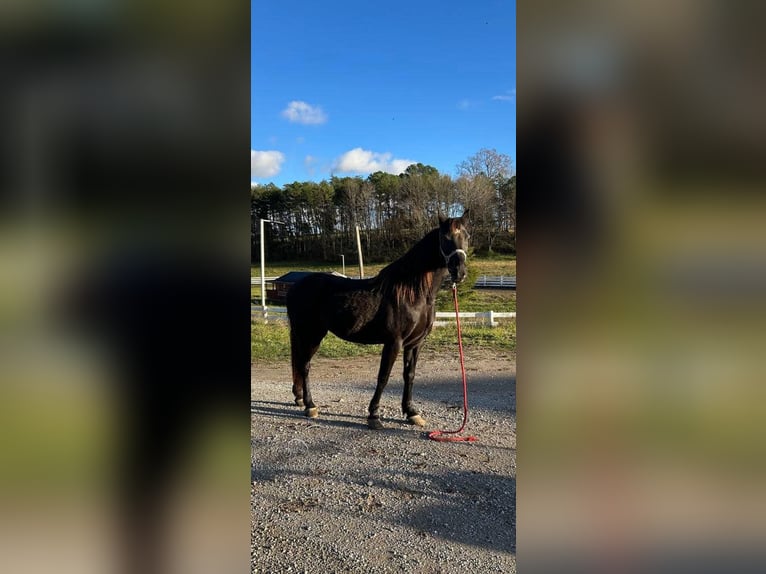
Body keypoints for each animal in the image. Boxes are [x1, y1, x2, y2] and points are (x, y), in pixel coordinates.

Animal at [286, 214, 472, 430]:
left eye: (466, 236)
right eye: (445, 237)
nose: (459, 272)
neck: (413, 293)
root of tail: (296, 286)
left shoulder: (415, 343)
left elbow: (409, 375)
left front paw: (412, 413)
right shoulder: (394, 342)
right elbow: (383, 377)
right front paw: (374, 415)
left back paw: (300, 399)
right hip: (311, 334)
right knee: (305, 366)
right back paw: (310, 406)